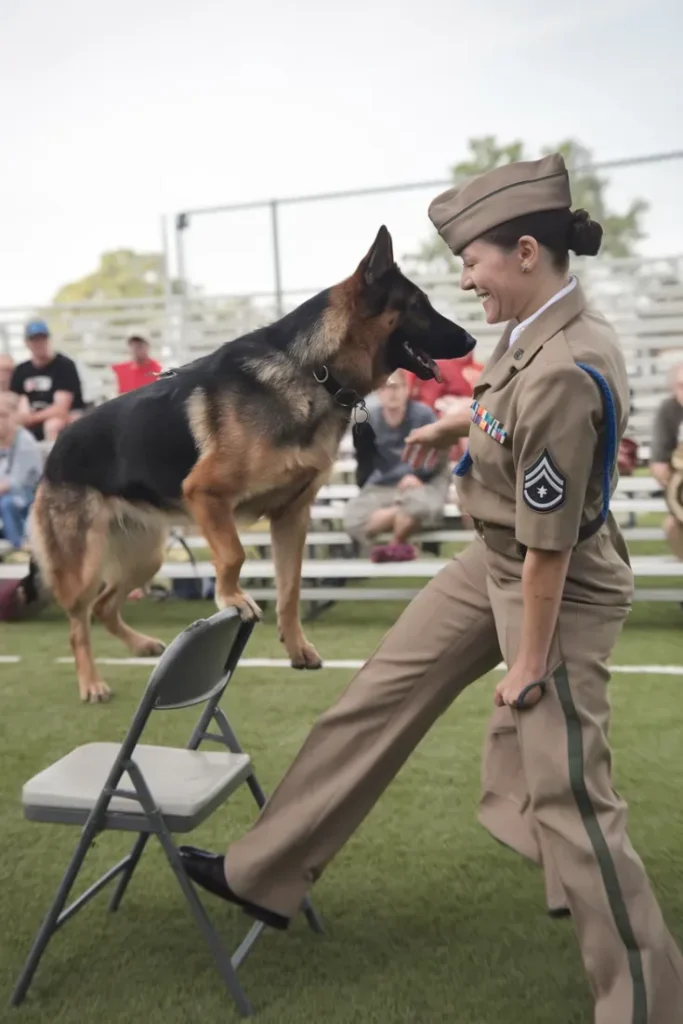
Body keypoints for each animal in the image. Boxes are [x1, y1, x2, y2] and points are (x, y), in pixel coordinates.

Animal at [30, 227, 475, 700]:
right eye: (419, 306)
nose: (472, 341)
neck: (314, 370)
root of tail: (57, 446)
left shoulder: (292, 516)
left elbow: (291, 587)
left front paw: (296, 646)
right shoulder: (207, 495)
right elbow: (234, 554)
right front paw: (232, 598)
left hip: (144, 556)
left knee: (104, 606)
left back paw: (142, 645)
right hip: (85, 566)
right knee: (78, 622)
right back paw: (91, 682)